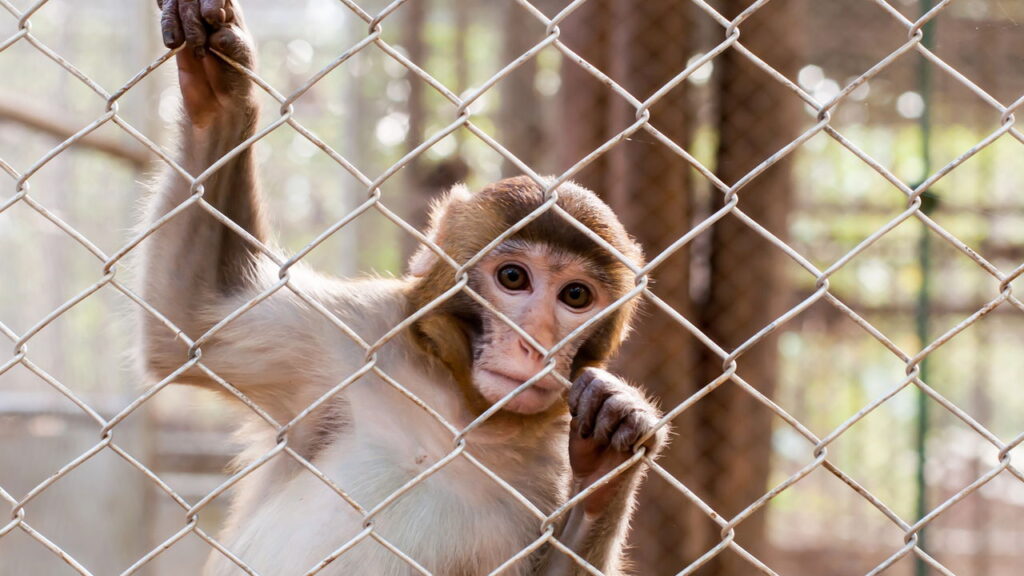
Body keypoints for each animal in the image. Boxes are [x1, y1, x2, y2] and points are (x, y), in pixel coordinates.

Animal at [142, 2, 671, 569]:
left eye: (575, 296)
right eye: (513, 278)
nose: (537, 344)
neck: (465, 416)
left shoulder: (549, 467)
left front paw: (614, 449)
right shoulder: (351, 333)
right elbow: (192, 321)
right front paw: (222, 87)